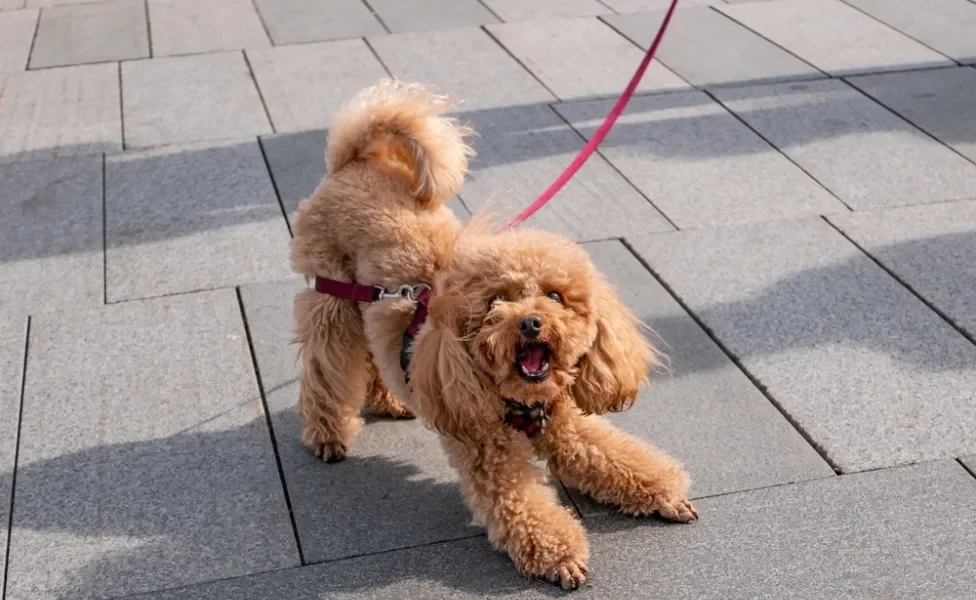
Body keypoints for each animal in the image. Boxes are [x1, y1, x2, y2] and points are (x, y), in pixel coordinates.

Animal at [290, 79, 692, 592]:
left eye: (556, 296)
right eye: (496, 302)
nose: (531, 322)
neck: (522, 403)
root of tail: (353, 160)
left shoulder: (568, 425)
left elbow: (613, 455)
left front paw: (664, 492)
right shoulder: (489, 451)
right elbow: (525, 506)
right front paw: (561, 555)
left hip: (369, 305)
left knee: (375, 354)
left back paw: (391, 398)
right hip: (332, 298)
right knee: (326, 371)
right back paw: (327, 436)